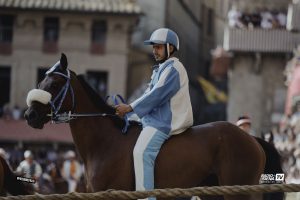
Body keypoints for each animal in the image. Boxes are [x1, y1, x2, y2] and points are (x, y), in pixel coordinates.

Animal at [24, 54, 266, 199]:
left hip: (237, 191)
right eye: (41, 82)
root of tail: (252, 140)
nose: (30, 115)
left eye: (55, 84)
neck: (106, 143)